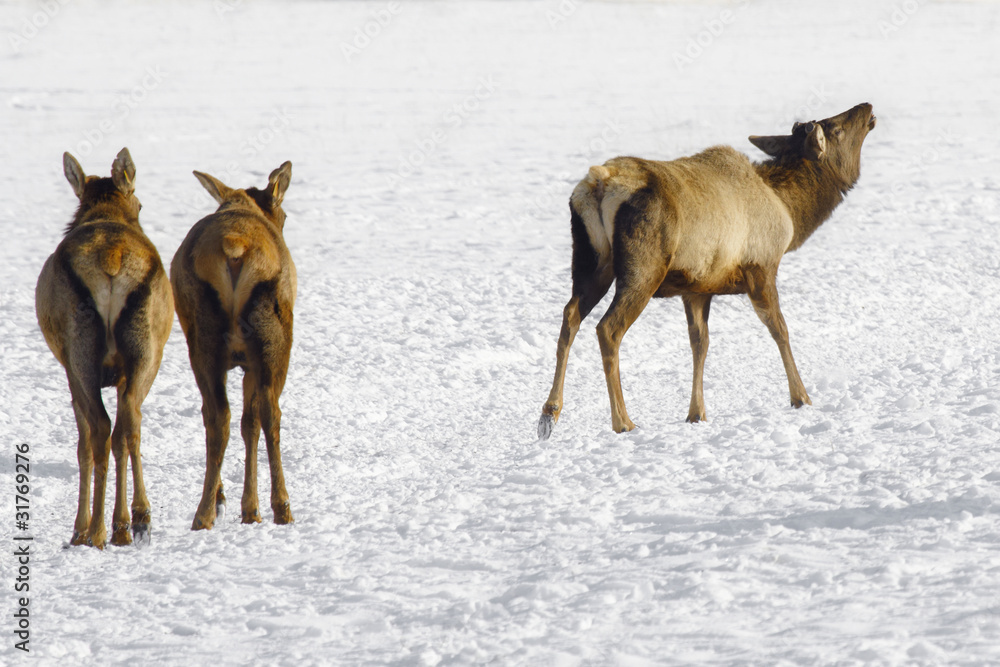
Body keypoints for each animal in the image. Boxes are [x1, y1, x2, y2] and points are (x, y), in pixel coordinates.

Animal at [35, 148, 174, 548]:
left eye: (140, 204)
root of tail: (112, 259)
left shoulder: (69, 371)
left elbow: (83, 445)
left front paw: (80, 528)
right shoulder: (126, 371)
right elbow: (121, 439)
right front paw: (122, 523)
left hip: (80, 353)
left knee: (99, 428)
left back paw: (93, 531)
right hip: (147, 349)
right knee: (130, 423)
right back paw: (137, 521)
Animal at [171, 162, 296, 531]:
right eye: (284, 215)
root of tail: (234, 246)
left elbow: (242, 422)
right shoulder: (252, 363)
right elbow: (251, 422)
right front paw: (250, 508)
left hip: (203, 342)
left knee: (216, 417)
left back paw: (203, 513)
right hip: (273, 340)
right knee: (270, 413)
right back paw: (282, 507)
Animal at [538, 103, 877, 439]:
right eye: (836, 129)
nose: (867, 107)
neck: (790, 209)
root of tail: (599, 181)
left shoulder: (697, 288)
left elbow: (699, 343)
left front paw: (696, 413)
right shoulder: (761, 267)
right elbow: (779, 329)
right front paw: (801, 397)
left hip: (592, 261)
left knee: (570, 316)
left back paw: (549, 414)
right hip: (643, 268)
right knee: (608, 328)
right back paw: (623, 421)